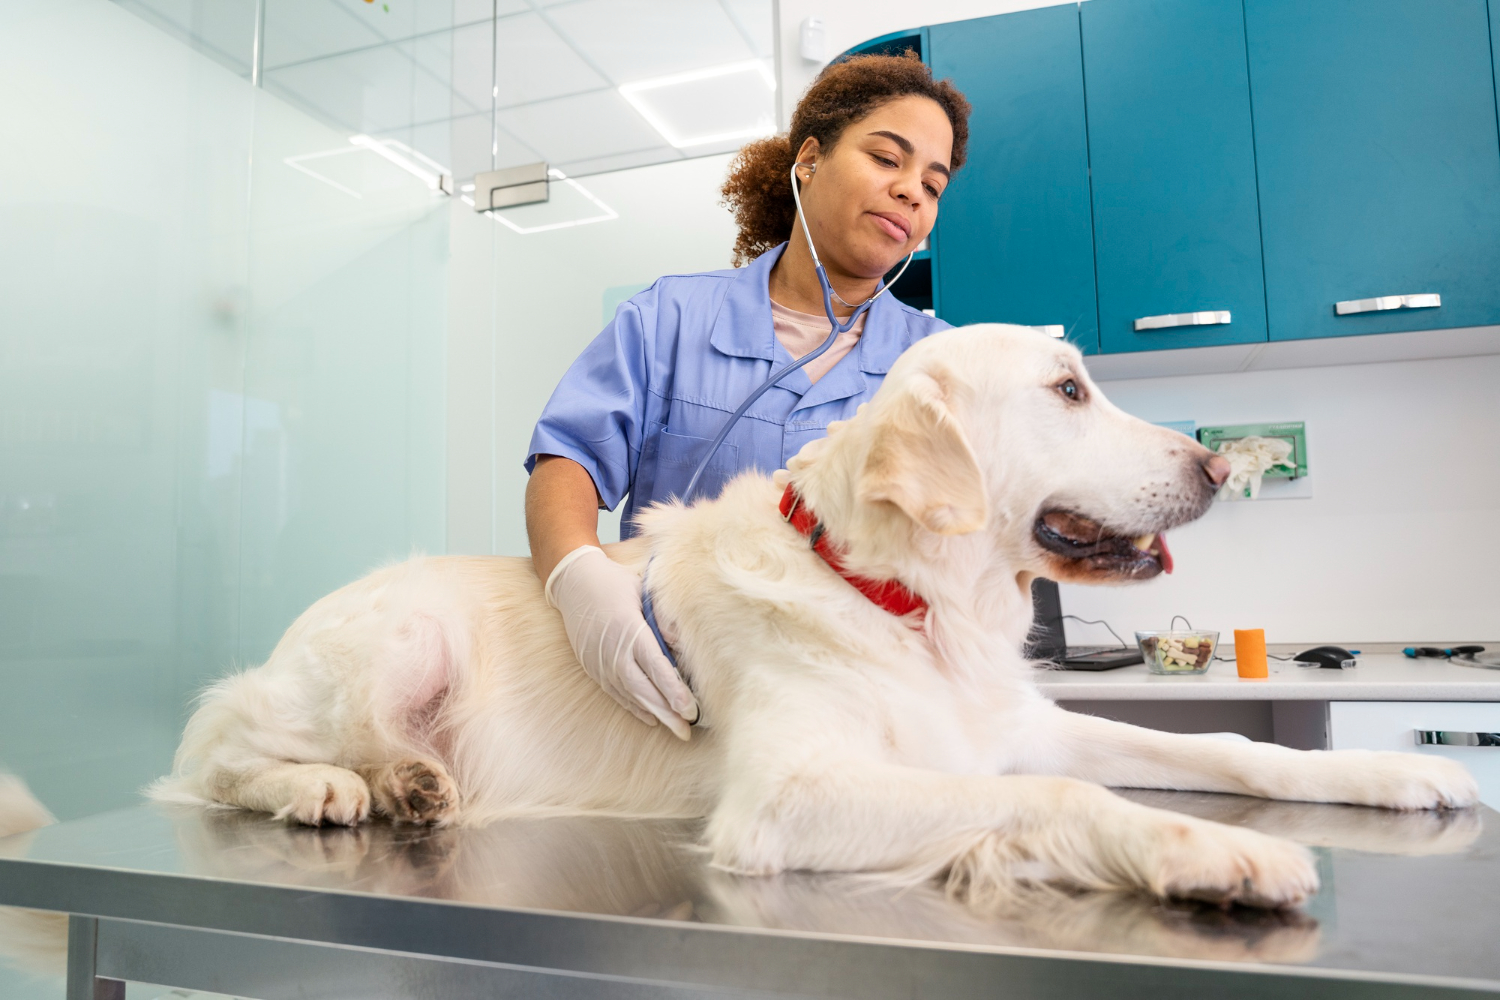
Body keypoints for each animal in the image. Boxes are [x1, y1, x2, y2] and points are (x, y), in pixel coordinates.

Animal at [152, 329, 1476, 917]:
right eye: (1067, 389)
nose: (1214, 464)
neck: (899, 598)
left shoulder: (1014, 726)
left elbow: (1227, 749)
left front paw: (1384, 775)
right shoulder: (787, 797)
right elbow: (1062, 798)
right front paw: (1217, 853)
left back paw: (407, 784)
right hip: (398, 632)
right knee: (220, 754)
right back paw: (345, 785)